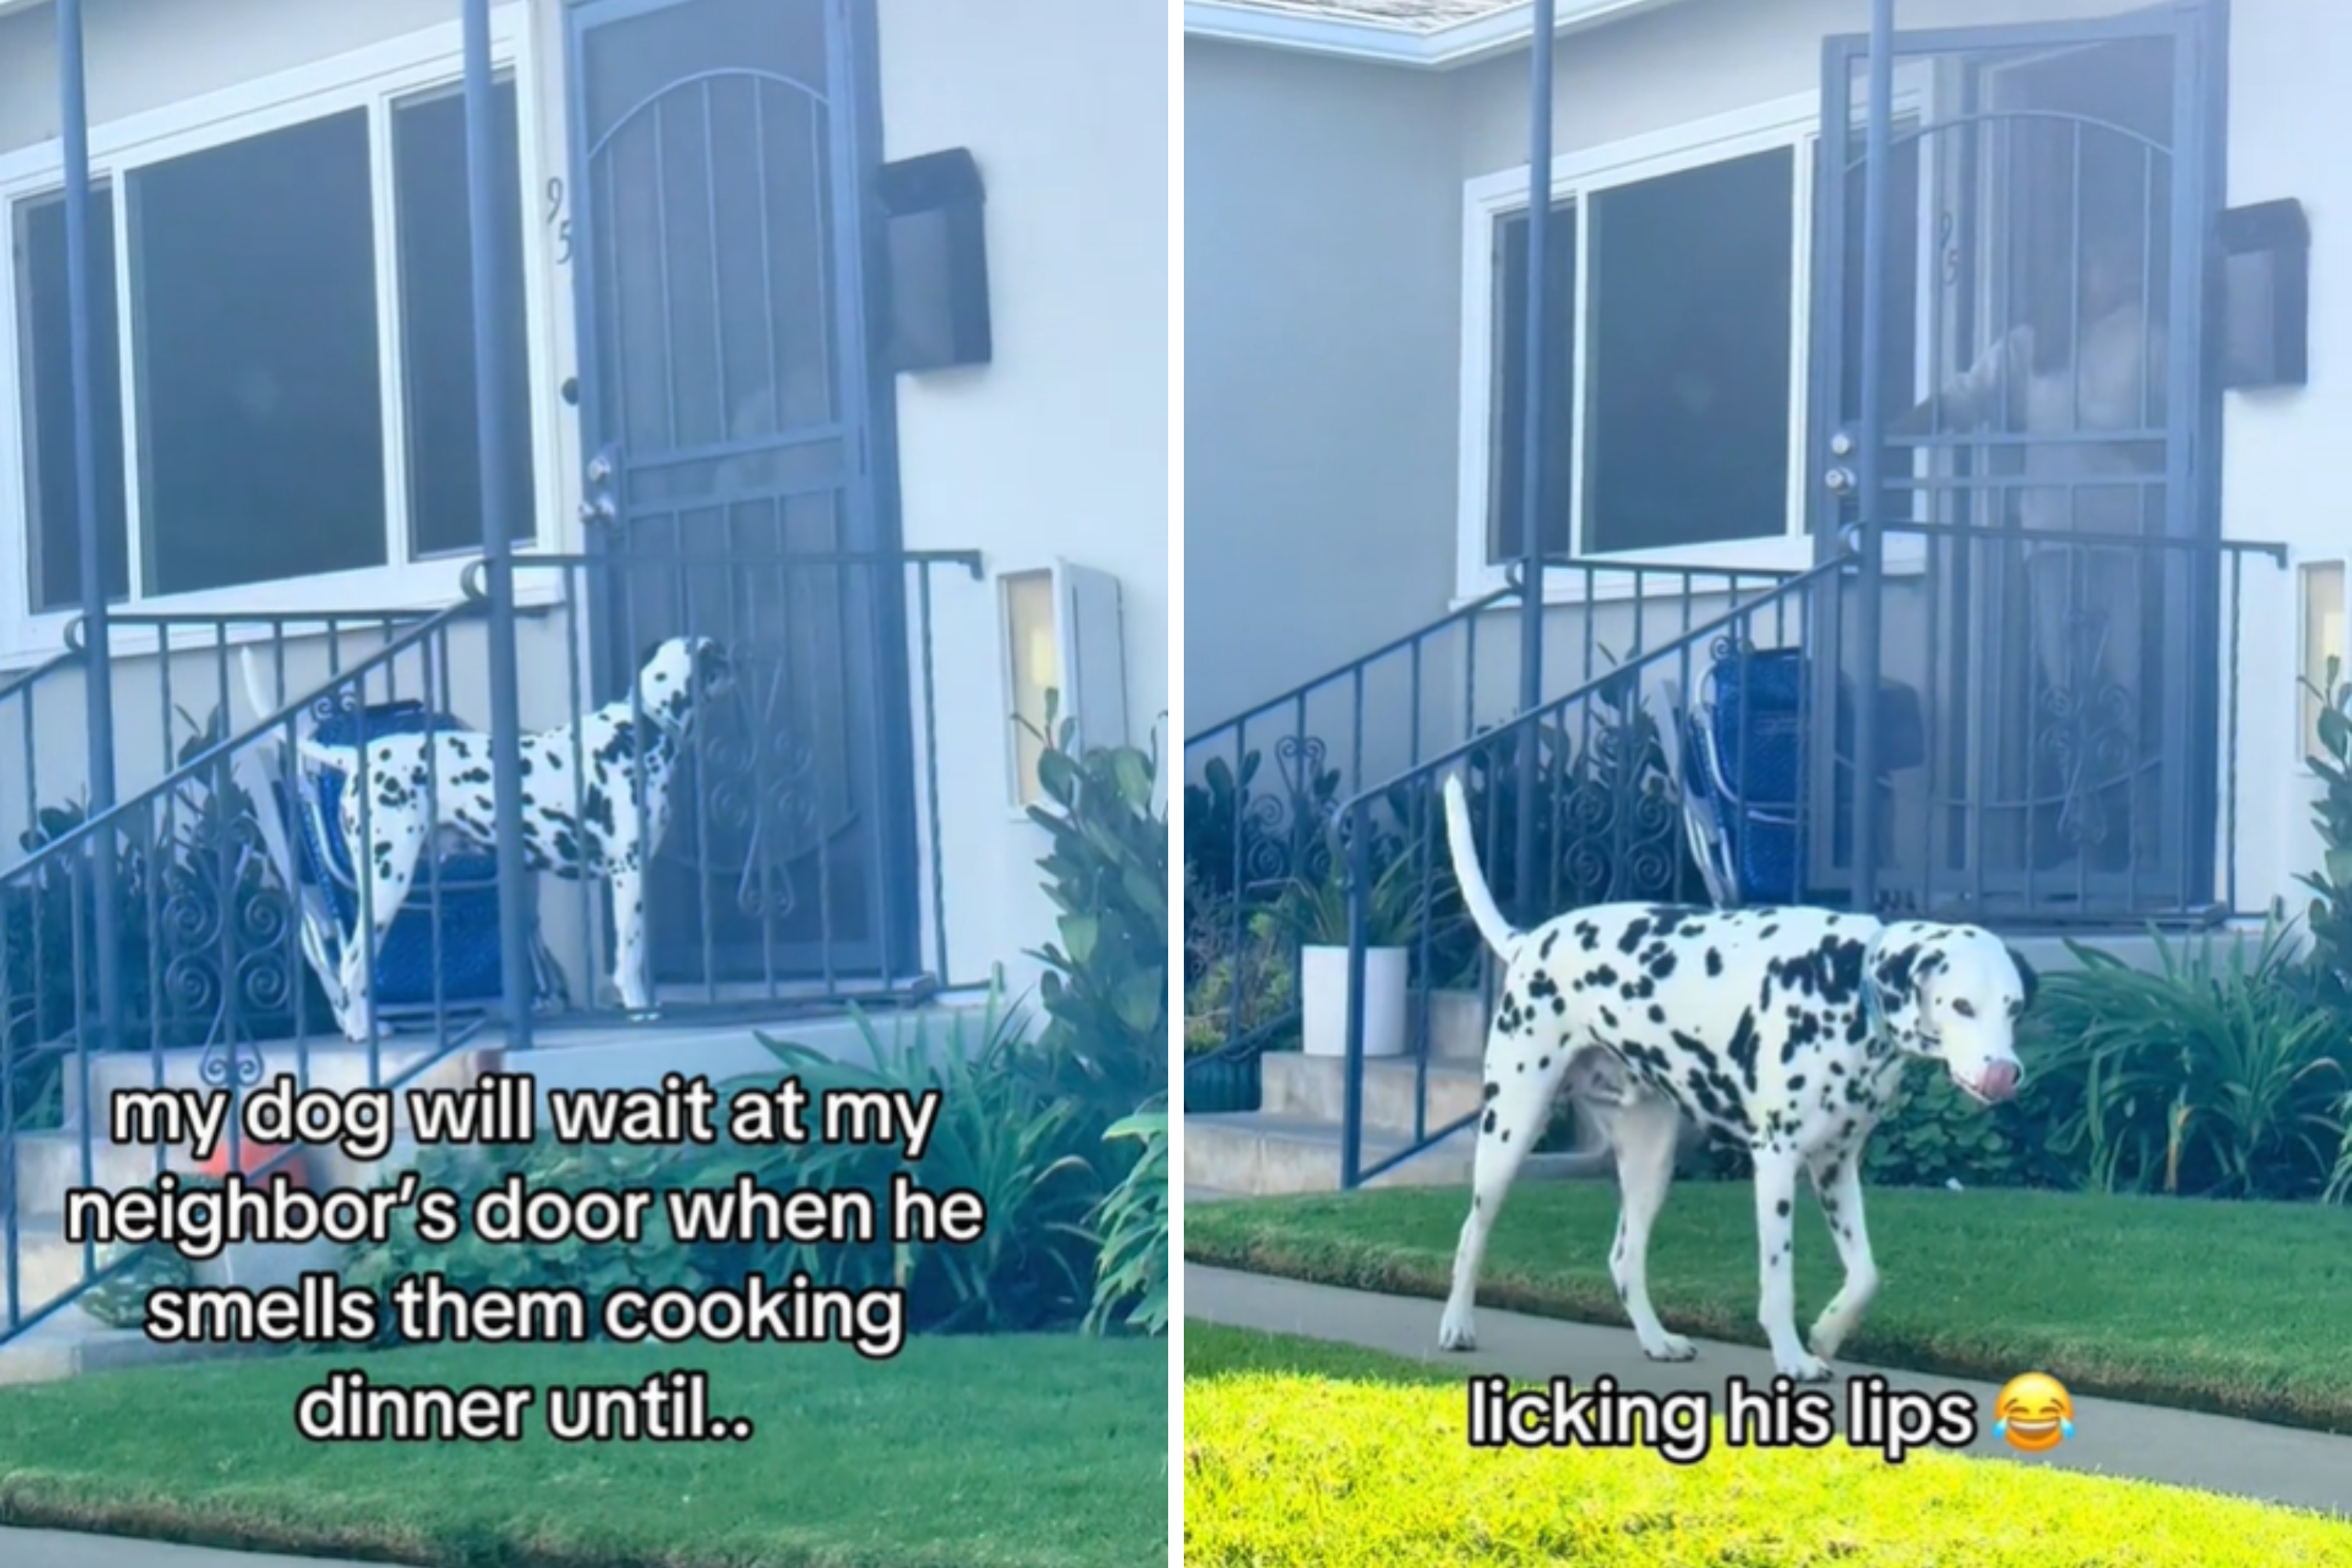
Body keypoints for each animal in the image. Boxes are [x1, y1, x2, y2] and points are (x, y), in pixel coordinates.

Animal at [299, 639, 729, 1044]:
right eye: (721, 653)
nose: (738, 660)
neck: (641, 727)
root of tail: (356, 756)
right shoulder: (629, 873)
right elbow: (631, 957)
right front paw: (641, 1009)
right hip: (386, 889)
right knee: (351, 965)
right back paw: (360, 1030)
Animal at [1430, 780, 2042, 1382]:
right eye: (1961, 1005)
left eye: (2012, 1008)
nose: (2004, 1073)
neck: (1844, 982)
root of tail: (1529, 939)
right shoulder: (1776, 1161)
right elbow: (1778, 1283)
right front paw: (1793, 1357)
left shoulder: (1836, 1166)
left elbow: (1867, 1274)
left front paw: (1827, 1331)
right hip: (1510, 1131)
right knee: (1470, 1233)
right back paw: (1457, 1325)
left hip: (1651, 1161)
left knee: (1624, 1259)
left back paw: (1657, 1340)